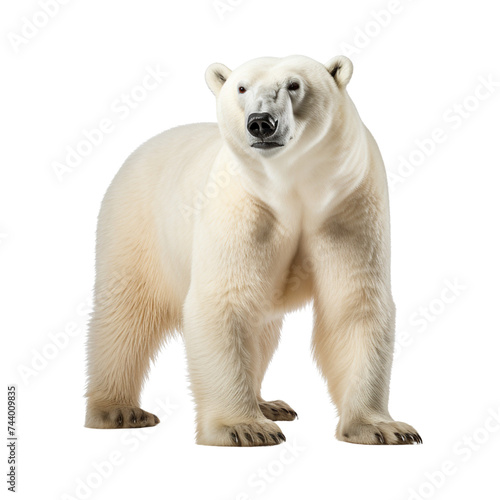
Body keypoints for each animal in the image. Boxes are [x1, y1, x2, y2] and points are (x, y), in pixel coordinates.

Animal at [86, 54, 422, 446]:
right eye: (241, 87)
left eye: (294, 84)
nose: (261, 123)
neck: (291, 187)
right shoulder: (242, 207)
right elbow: (225, 300)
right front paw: (243, 428)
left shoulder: (347, 206)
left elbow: (354, 303)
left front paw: (383, 427)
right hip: (136, 226)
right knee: (126, 315)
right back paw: (119, 411)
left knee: (260, 331)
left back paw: (269, 404)